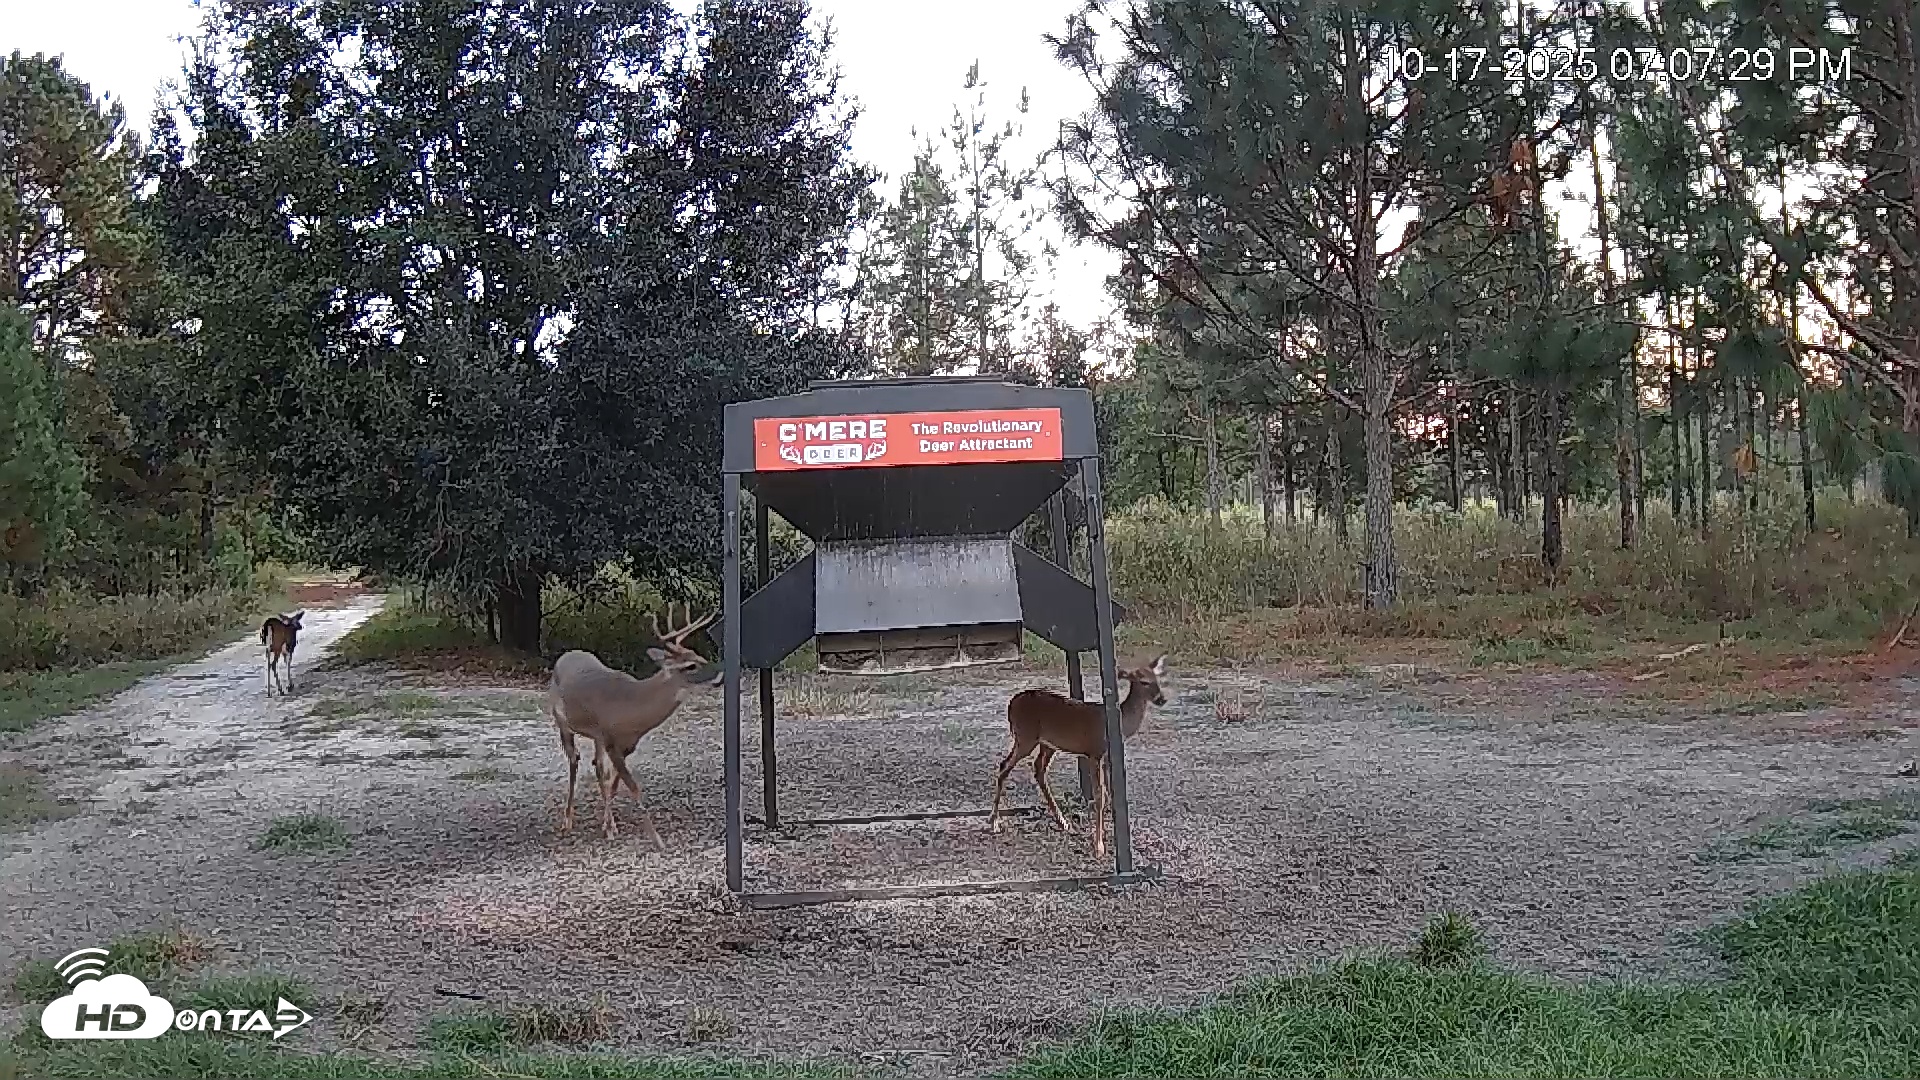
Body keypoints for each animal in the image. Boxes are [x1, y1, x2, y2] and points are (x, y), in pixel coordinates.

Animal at [545, 602, 719, 847]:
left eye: (698, 655)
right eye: (690, 665)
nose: (719, 675)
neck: (632, 707)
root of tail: (566, 654)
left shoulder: (626, 744)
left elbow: (615, 783)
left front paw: (609, 825)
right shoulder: (610, 739)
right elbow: (633, 786)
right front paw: (657, 839)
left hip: (596, 737)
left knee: (597, 766)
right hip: (562, 722)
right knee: (574, 760)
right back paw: (567, 820)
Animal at [988, 653, 1168, 860]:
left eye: (1157, 680)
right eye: (1144, 682)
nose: (1162, 699)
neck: (1118, 723)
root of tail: (1011, 704)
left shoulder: (1106, 757)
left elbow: (1109, 793)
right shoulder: (1094, 752)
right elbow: (1100, 795)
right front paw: (1099, 846)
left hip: (1047, 743)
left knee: (1038, 769)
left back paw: (1063, 822)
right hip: (1025, 736)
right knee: (1005, 765)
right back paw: (994, 823)